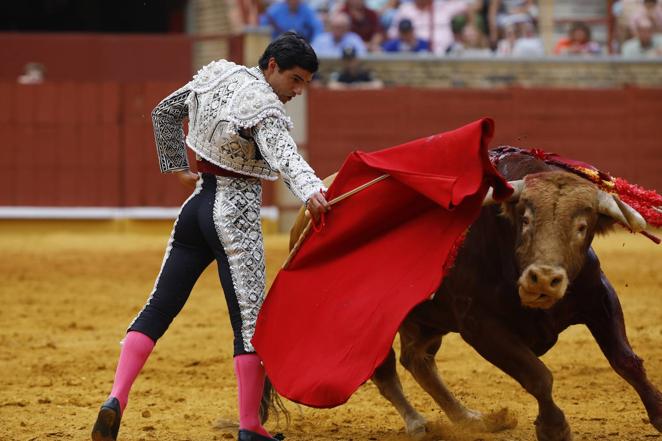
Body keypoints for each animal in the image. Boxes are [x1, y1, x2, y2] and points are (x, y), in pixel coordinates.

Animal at [290, 152, 662, 440]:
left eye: (582, 227)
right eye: (525, 219)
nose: (543, 279)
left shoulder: (599, 298)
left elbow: (627, 362)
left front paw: (658, 412)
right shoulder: (481, 328)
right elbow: (538, 376)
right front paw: (554, 427)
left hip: (428, 319)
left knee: (418, 360)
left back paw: (472, 419)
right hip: (370, 326)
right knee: (386, 371)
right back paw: (419, 424)